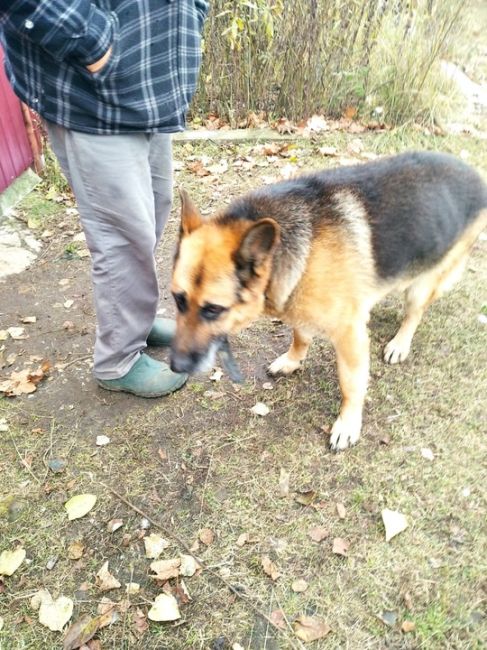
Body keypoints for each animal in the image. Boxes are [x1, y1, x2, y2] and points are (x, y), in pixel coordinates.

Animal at [172, 151, 487, 450]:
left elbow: (351, 384)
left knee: (414, 313)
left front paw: (348, 425)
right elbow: (300, 337)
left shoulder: (349, 335)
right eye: (178, 300)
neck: (294, 249)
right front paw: (292, 361)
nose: (175, 366)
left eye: (214, 309)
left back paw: (399, 344)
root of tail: (475, 176)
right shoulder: (299, 306)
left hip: (420, 286)